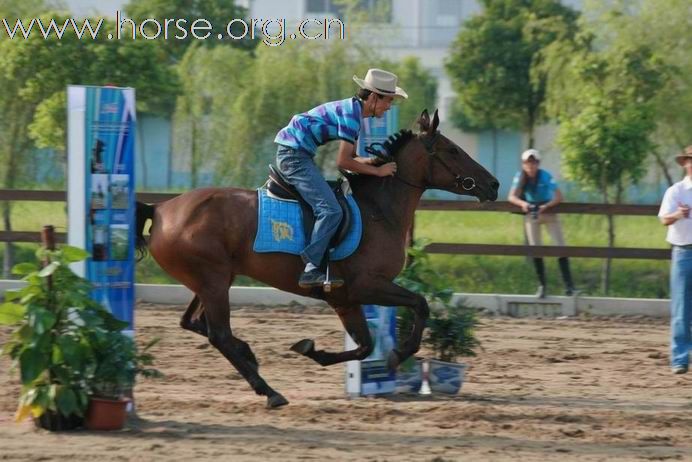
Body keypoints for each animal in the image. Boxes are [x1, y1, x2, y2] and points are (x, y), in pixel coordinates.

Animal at [135, 109, 498, 408]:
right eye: (453, 150)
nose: (493, 184)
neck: (378, 210)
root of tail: (161, 208)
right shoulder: (368, 286)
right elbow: (419, 305)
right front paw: (396, 356)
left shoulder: (345, 300)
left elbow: (365, 346)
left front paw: (313, 351)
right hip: (213, 282)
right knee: (218, 334)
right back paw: (270, 392)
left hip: (214, 280)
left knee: (193, 323)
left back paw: (250, 355)